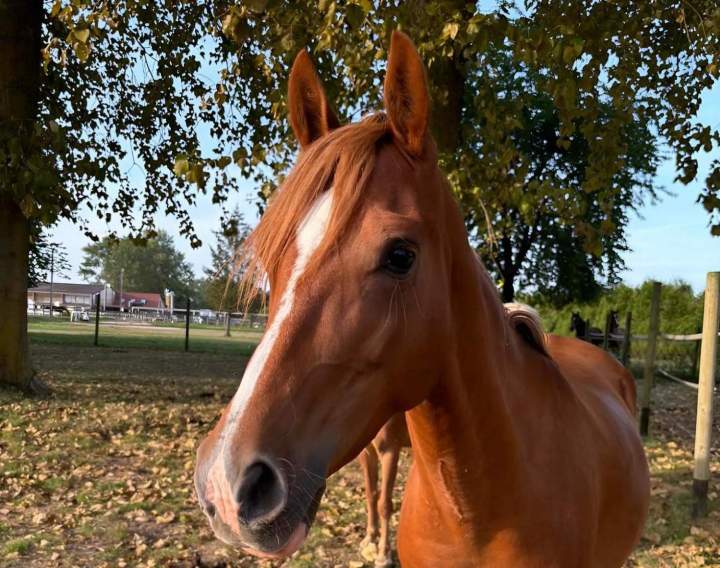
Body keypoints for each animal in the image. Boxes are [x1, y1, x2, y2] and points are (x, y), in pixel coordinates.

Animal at [359, 413, 410, 567]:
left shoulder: (389, 449)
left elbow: (384, 505)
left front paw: (383, 555)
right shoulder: (366, 450)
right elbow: (371, 494)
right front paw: (370, 537)